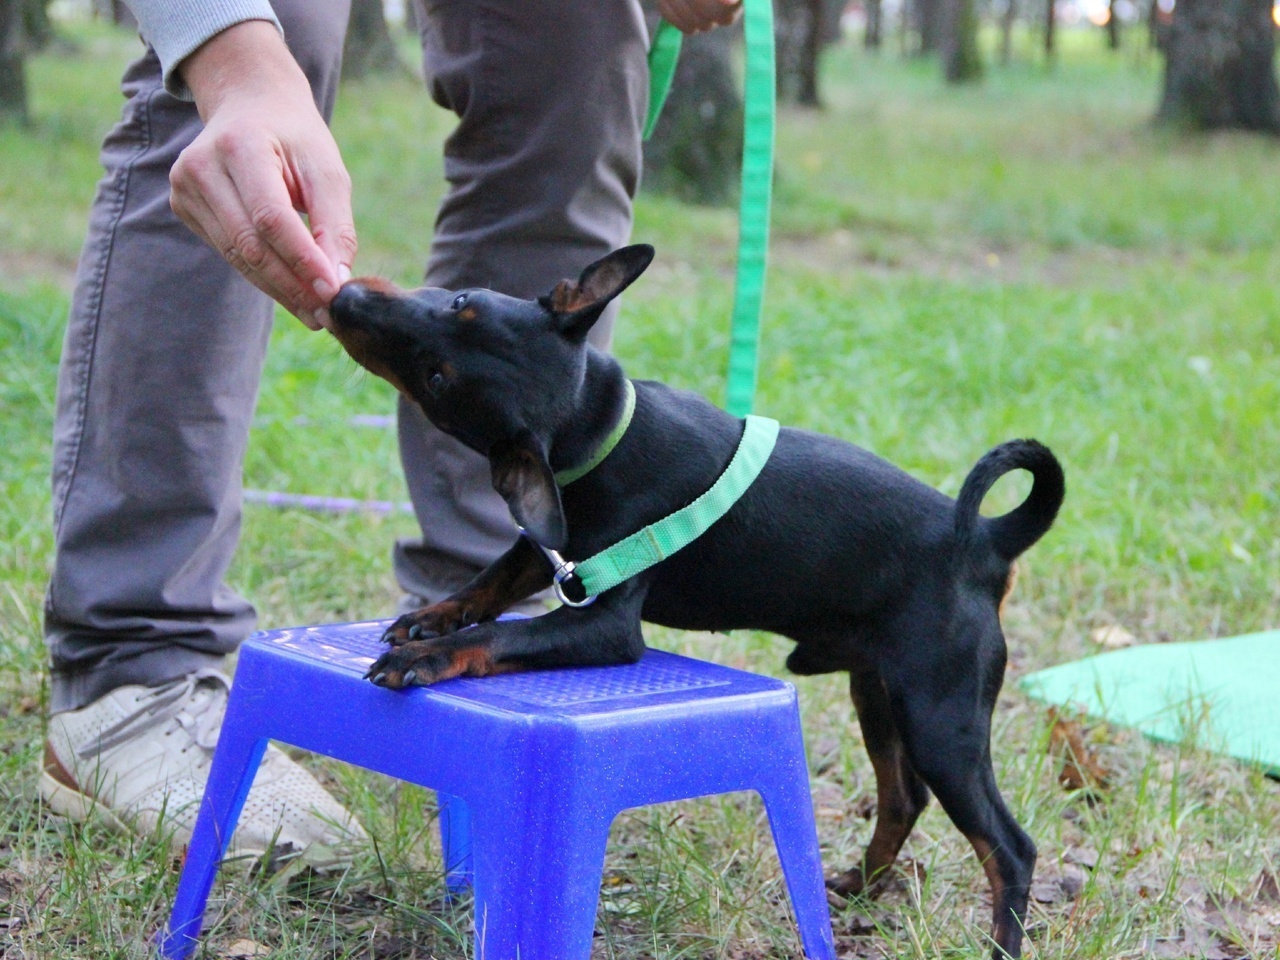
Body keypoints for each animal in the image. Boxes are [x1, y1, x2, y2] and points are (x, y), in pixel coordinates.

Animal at [327, 244, 1059, 957]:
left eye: (438, 378)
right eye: (456, 306)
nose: (345, 300)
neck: (594, 432)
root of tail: (988, 542)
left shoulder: (605, 629)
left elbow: (501, 634)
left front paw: (427, 656)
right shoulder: (552, 549)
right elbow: (495, 578)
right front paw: (430, 618)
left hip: (939, 718)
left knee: (1009, 848)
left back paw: (997, 941)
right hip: (880, 691)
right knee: (903, 798)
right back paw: (859, 886)